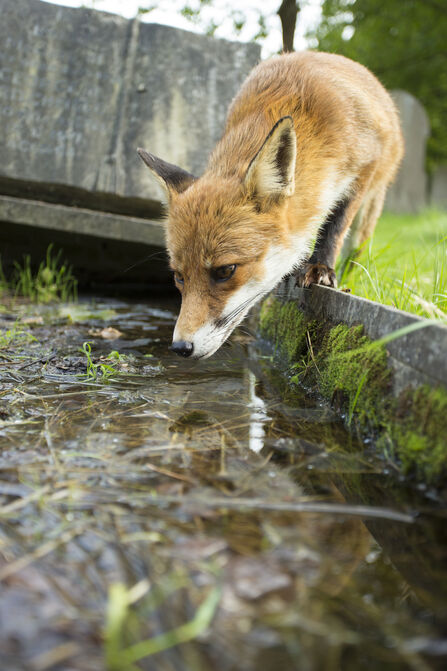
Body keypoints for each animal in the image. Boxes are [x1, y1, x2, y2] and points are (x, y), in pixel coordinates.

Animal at [138, 51, 403, 359]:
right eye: (179, 277)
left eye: (225, 271)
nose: (180, 347)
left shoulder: (362, 169)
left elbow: (334, 228)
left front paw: (321, 268)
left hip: (372, 202)